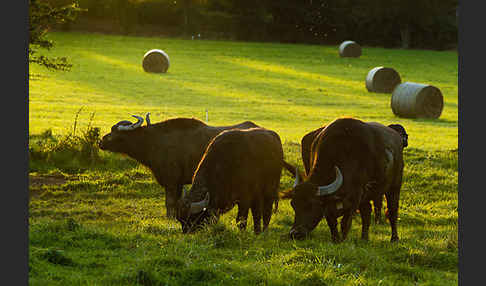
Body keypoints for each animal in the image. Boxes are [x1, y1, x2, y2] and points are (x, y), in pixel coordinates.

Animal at [97, 114, 260, 217]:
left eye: (113, 131)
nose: (101, 142)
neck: (154, 141)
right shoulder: (179, 183)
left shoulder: (171, 180)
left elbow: (169, 202)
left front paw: (170, 217)